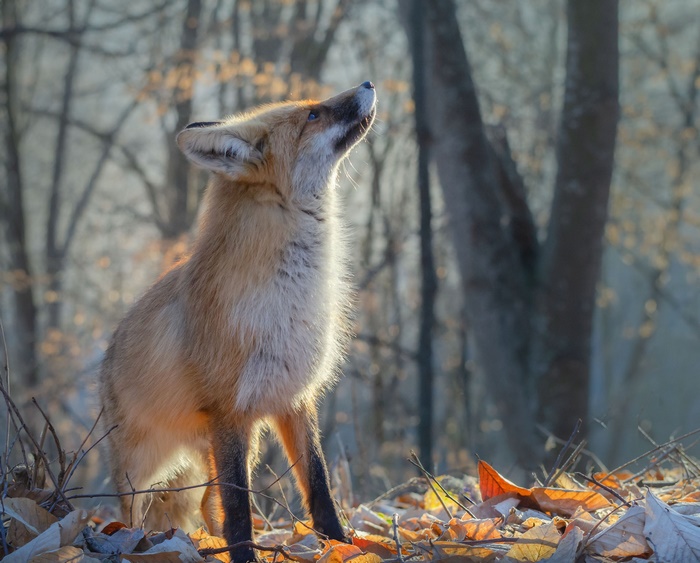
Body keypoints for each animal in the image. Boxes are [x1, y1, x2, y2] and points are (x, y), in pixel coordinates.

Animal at [98, 82, 376, 563]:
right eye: (312, 115)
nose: (367, 84)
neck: (289, 300)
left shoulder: (294, 398)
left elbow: (319, 485)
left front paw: (341, 545)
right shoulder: (229, 412)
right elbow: (239, 505)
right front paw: (246, 555)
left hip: (219, 452)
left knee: (206, 507)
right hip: (142, 467)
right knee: (134, 513)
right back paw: (132, 543)